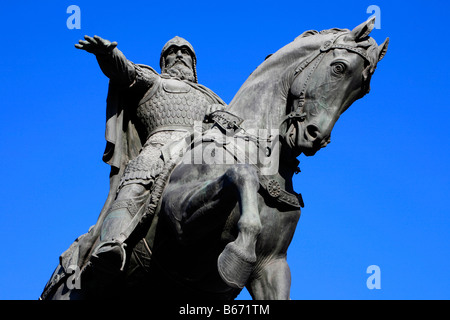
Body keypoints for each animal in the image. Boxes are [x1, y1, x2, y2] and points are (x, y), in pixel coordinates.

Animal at [41, 18, 386, 300]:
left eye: (363, 89)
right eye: (338, 67)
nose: (314, 135)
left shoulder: (272, 266)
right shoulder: (180, 220)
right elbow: (239, 175)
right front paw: (237, 256)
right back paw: (109, 252)